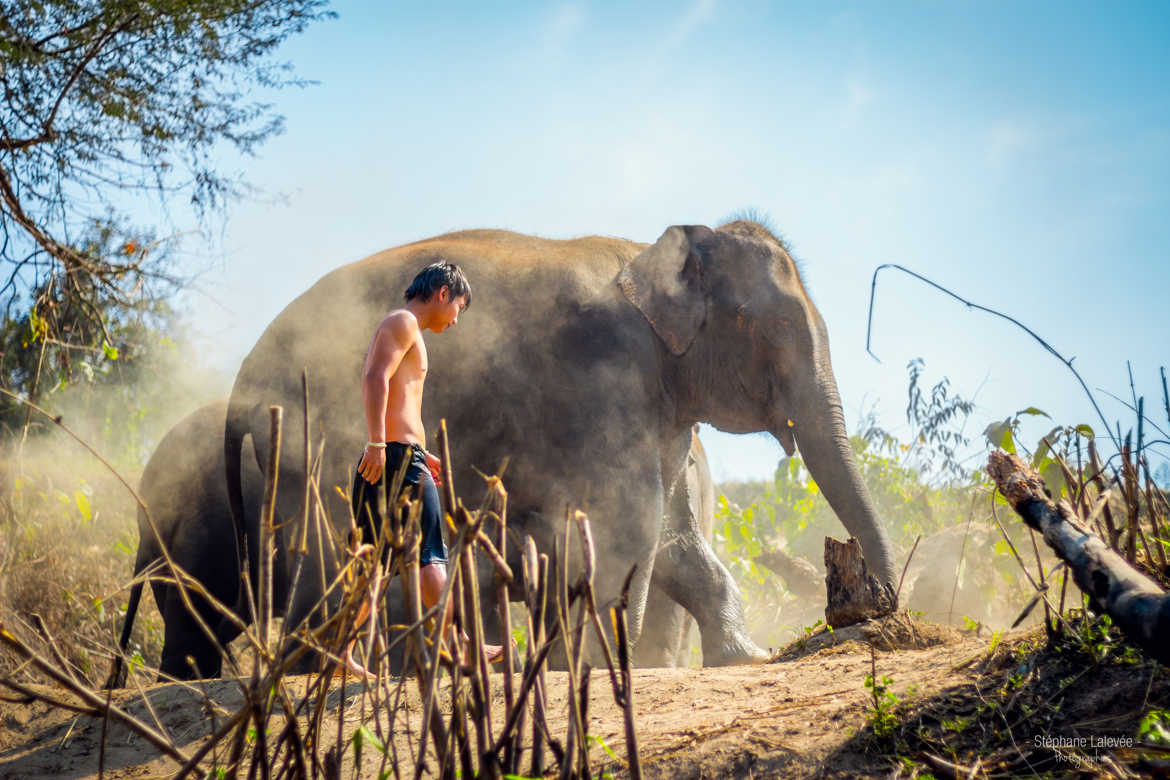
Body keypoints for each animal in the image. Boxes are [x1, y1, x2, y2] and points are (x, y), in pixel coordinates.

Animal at [225, 221, 893, 673]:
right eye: (771, 325)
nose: (873, 609)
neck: (651, 256)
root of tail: (244, 374)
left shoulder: (662, 409)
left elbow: (671, 538)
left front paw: (746, 657)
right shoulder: (606, 376)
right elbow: (629, 522)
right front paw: (599, 669)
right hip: (318, 433)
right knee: (333, 539)